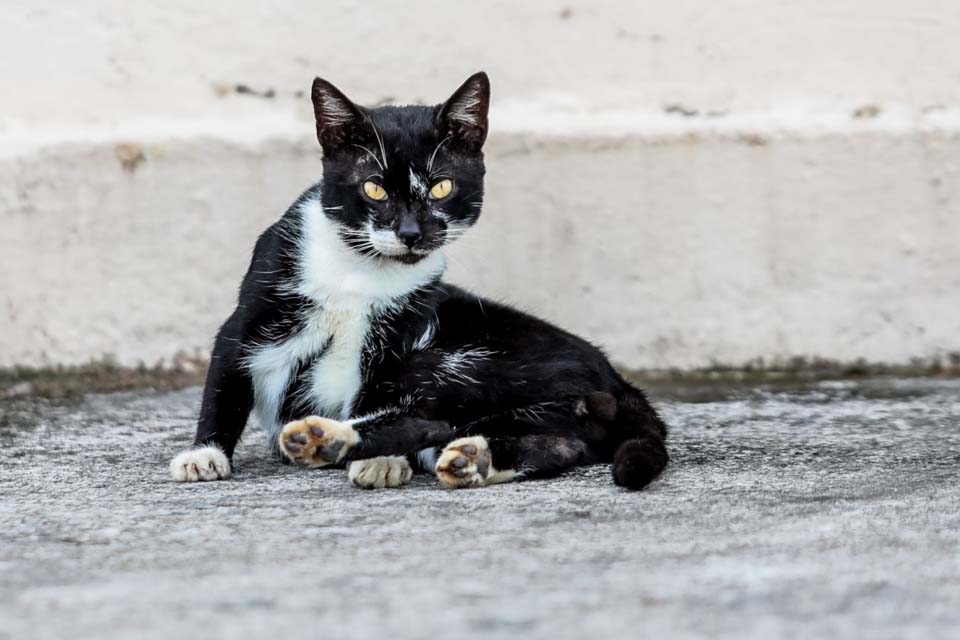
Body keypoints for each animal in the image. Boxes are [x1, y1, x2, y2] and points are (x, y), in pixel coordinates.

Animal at [171, 71, 668, 490]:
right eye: (373, 187)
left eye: (442, 187)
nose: (411, 233)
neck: (360, 271)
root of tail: (619, 383)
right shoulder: (251, 310)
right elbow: (224, 384)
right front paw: (204, 454)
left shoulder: (398, 336)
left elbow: (376, 396)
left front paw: (380, 461)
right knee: (551, 442)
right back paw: (469, 458)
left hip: (449, 359)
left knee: (429, 420)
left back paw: (330, 440)